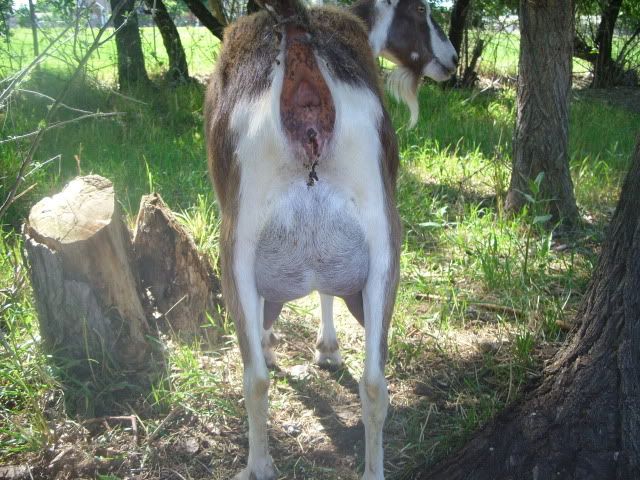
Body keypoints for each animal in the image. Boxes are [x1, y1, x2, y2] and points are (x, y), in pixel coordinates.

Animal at [204, 0, 454, 478]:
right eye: (420, 10)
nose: (450, 60)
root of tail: (299, 41)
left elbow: (318, 295)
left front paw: (319, 349)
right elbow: (324, 291)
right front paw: (325, 350)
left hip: (236, 239)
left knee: (255, 378)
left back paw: (258, 465)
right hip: (384, 239)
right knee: (374, 383)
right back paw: (372, 470)